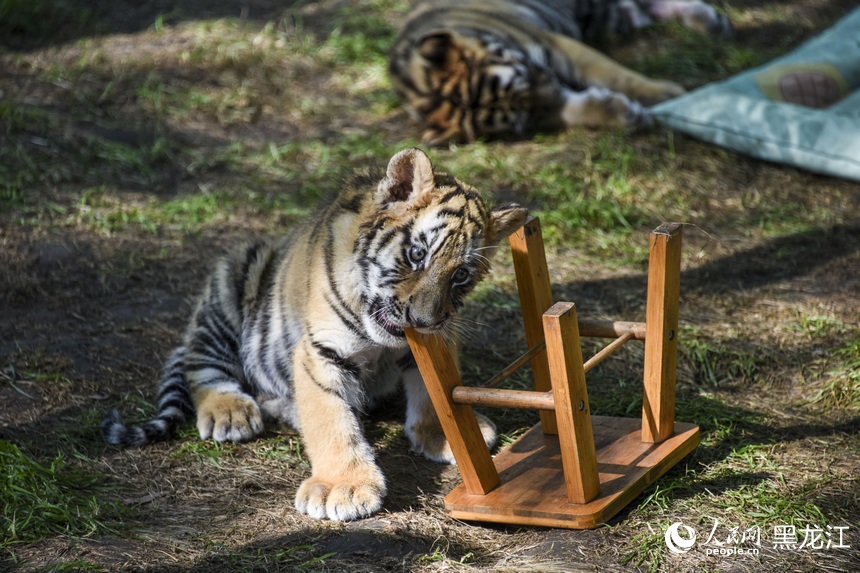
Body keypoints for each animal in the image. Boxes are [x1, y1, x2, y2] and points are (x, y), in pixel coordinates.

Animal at [101, 148, 528, 522]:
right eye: (417, 254)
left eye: (461, 276)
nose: (423, 321)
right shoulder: (320, 352)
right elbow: (330, 419)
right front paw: (343, 488)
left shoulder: (434, 340)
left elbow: (433, 391)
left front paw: (445, 434)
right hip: (235, 276)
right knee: (201, 364)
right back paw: (229, 411)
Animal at [389, 0, 733, 145]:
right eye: (523, 118)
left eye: (523, 76)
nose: (556, 85)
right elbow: (575, 111)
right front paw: (625, 113)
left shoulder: (556, 46)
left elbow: (613, 73)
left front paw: (663, 92)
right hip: (608, 16)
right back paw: (708, 20)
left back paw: (713, 22)